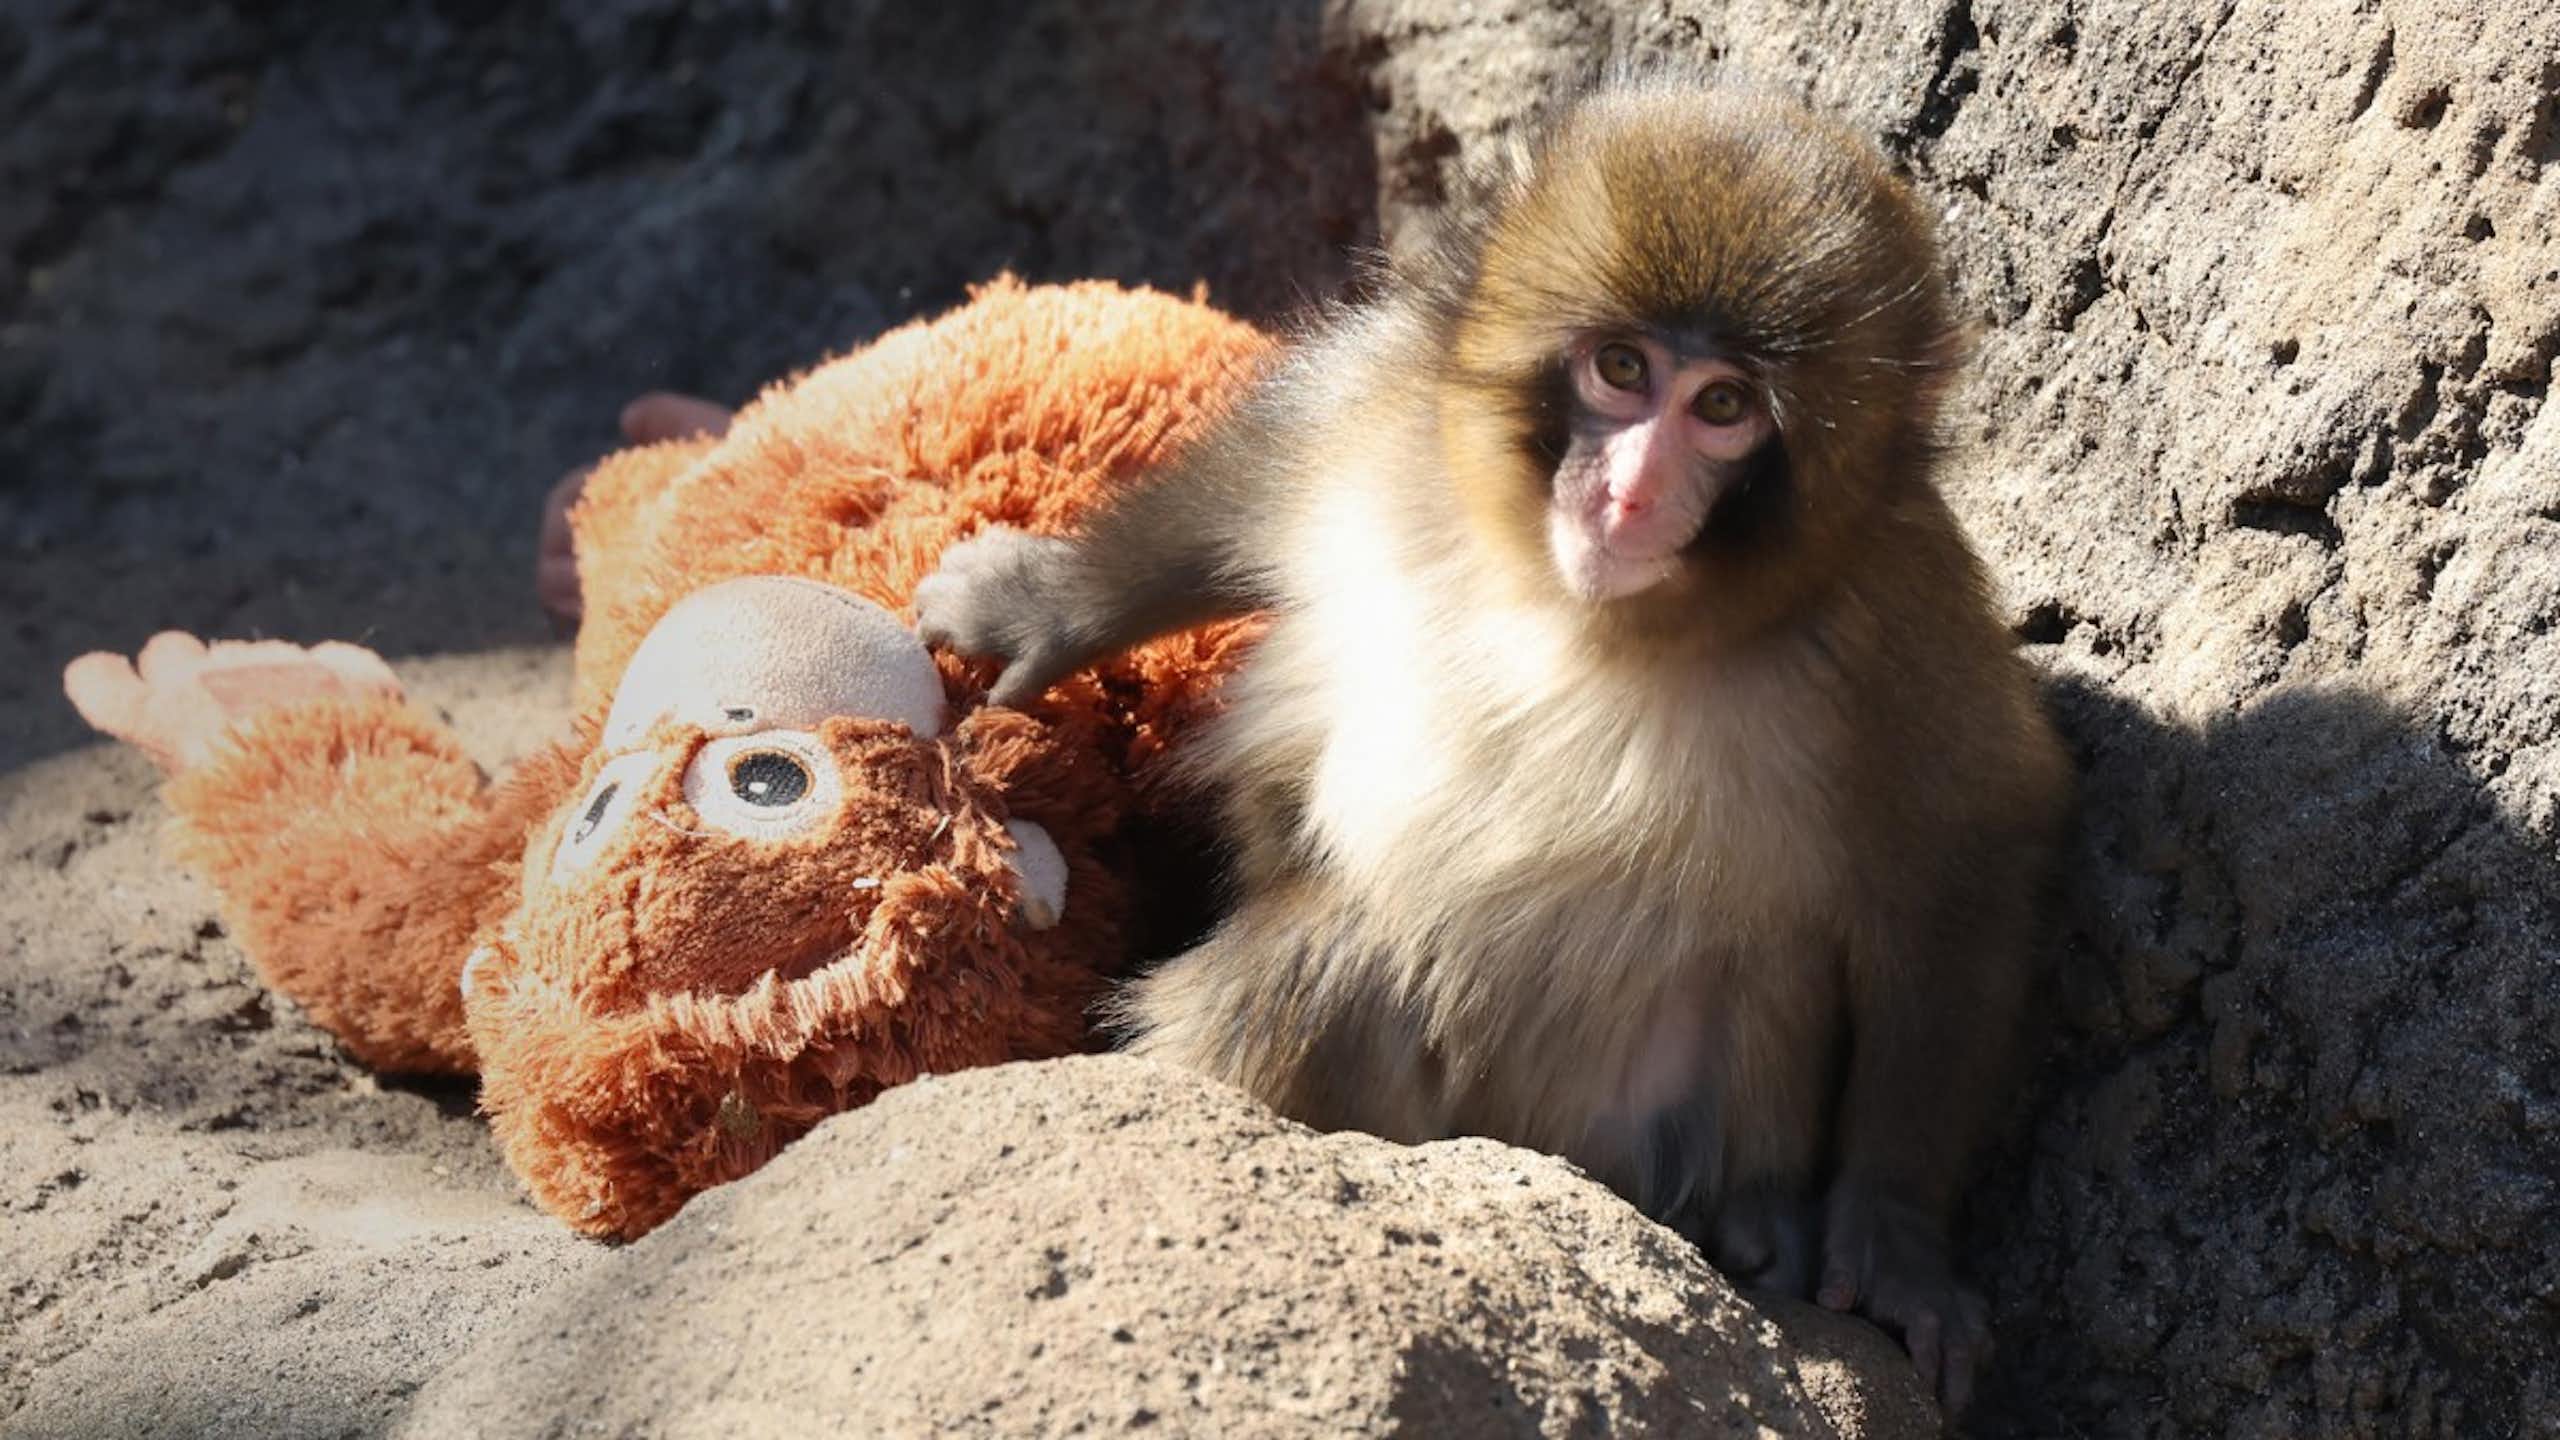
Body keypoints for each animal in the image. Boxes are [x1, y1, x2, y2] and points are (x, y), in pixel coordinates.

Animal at [914, 74, 2069, 1412]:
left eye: (1722, 408)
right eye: (1620, 368)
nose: (1627, 494)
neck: (1576, 608)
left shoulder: (1894, 621)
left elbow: (1966, 852)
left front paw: (1895, 1239)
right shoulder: (1391, 414)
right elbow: (1255, 478)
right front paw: (1044, 607)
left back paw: (1758, 1225)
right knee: (1330, 963)